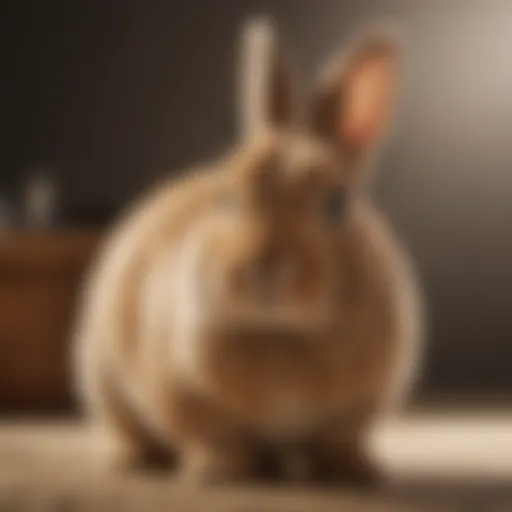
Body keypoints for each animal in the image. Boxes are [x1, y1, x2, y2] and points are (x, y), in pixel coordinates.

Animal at [72, 18, 424, 486]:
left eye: (337, 204)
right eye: (227, 197)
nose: (266, 269)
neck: (283, 334)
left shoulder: (359, 407)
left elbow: (338, 439)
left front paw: (350, 471)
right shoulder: (181, 394)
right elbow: (212, 435)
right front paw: (220, 470)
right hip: (104, 386)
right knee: (129, 432)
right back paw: (133, 462)